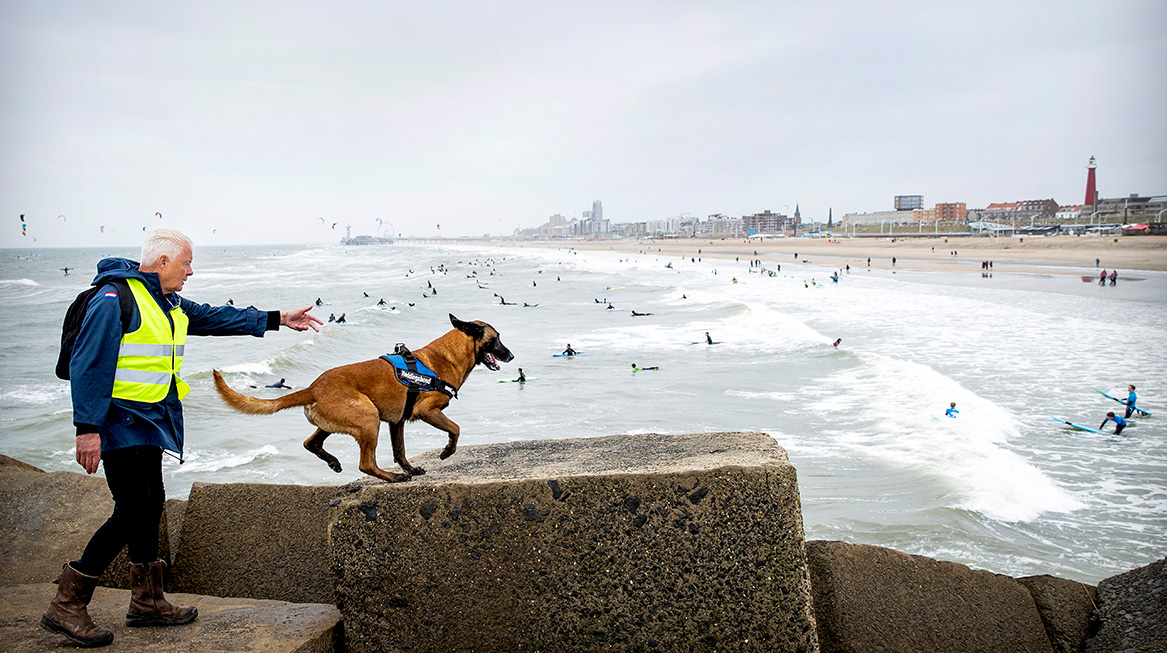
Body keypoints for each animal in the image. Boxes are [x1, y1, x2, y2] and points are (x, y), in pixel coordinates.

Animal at [212, 314, 513, 482]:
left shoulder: (396, 422)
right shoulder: (428, 411)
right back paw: (392, 478)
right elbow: (456, 429)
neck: (447, 355)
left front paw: (411, 468)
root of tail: (313, 387)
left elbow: (400, 450)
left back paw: (334, 461)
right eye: (497, 338)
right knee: (365, 464)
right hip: (369, 418)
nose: (511, 355)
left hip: (344, 420)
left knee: (311, 442)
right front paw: (447, 452)